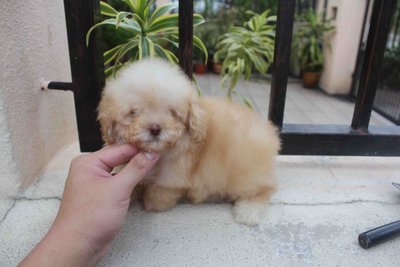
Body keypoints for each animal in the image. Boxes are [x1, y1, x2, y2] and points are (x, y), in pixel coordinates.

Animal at [97, 58, 280, 226]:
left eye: (171, 112)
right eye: (134, 112)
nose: (155, 129)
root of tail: (268, 134)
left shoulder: (172, 176)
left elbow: (160, 192)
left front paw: (150, 202)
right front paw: (134, 192)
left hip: (243, 171)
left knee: (264, 189)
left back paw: (248, 212)